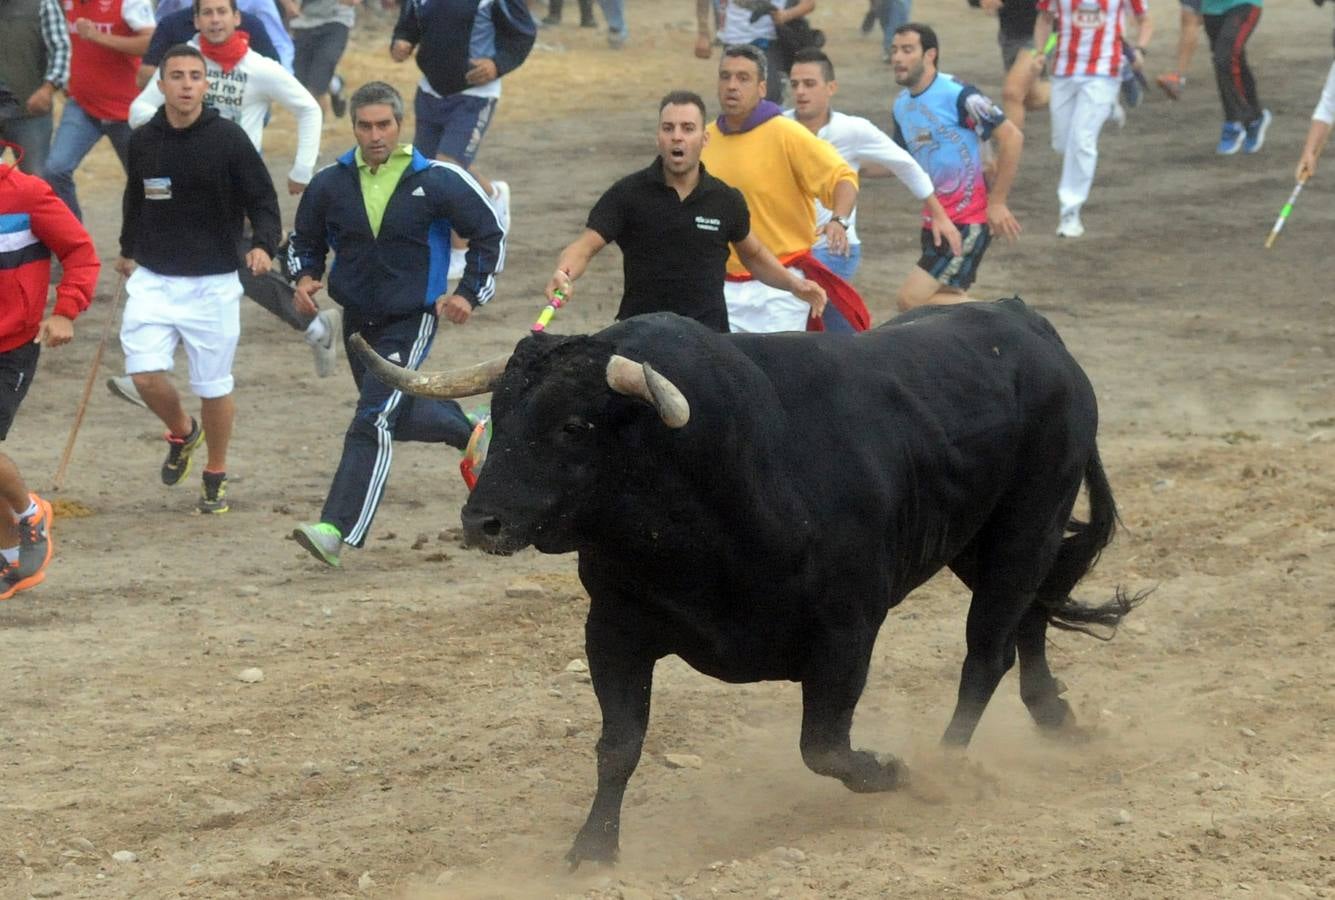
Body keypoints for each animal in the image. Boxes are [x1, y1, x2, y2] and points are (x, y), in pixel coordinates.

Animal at [352, 299, 1137, 859]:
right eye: (501, 414)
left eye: (574, 426)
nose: (480, 521)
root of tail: (1029, 325)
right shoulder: (613, 629)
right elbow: (618, 744)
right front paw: (591, 851)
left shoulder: (846, 632)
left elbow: (824, 747)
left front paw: (891, 770)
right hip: (981, 542)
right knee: (1030, 616)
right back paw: (1053, 716)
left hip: (1026, 525)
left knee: (985, 651)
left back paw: (945, 764)